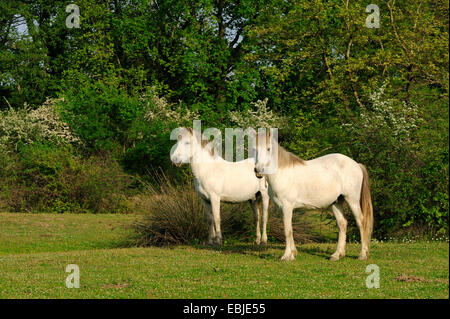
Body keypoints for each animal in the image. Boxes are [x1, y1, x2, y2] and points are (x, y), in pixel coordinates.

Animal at [255, 131, 374, 262]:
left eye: (268, 149)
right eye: (254, 149)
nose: (258, 170)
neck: (282, 173)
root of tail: (356, 164)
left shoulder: (287, 206)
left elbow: (287, 230)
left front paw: (286, 256)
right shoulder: (284, 208)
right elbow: (290, 228)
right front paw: (293, 253)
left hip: (352, 200)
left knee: (361, 222)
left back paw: (362, 254)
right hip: (336, 203)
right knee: (342, 224)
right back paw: (337, 255)